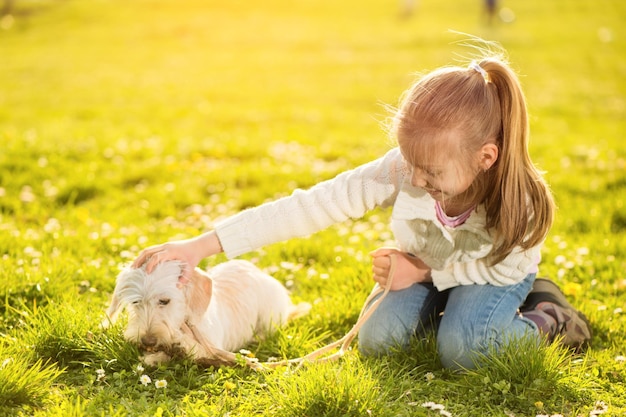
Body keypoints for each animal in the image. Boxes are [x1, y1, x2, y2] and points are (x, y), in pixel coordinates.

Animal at [105, 258, 310, 366]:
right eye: (135, 301)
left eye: (164, 301)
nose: (147, 341)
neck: (184, 321)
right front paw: (154, 356)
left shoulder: (212, 347)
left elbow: (194, 348)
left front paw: (179, 343)